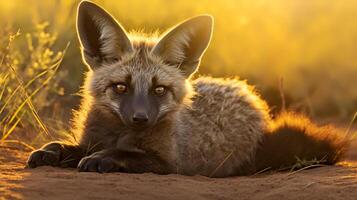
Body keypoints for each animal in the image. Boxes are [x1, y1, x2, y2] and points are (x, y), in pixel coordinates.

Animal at [27, 0, 348, 177]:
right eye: (121, 87)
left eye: (159, 90)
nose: (140, 118)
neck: (120, 133)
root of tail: (249, 95)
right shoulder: (90, 140)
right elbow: (63, 146)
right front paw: (48, 152)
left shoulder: (171, 163)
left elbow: (126, 155)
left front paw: (104, 158)